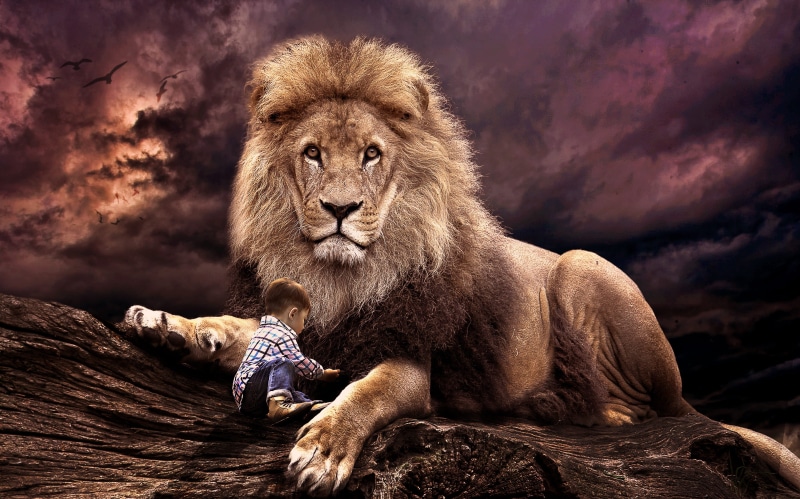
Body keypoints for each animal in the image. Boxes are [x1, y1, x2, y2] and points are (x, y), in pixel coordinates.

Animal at [124, 36, 800, 496]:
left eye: (372, 155)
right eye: (312, 153)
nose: (340, 209)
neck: (339, 277)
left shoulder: (409, 361)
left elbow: (368, 392)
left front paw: (323, 450)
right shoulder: (300, 330)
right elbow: (239, 333)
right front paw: (167, 325)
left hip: (582, 269)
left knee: (638, 410)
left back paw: (555, 406)